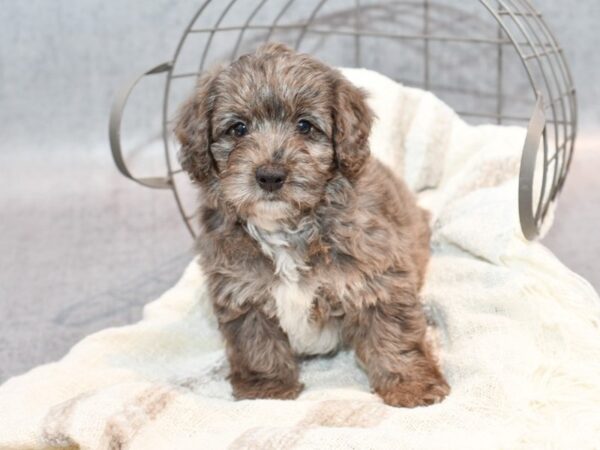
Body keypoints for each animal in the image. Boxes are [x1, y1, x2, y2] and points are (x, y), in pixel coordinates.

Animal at [177, 43, 450, 408]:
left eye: (305, 126)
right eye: (238, 129)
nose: (270, 176)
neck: (288, 228)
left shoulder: (378, 278)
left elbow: (393, 333)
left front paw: (412, 385)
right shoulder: (242, 291)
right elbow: (257, 343)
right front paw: (267, 388)